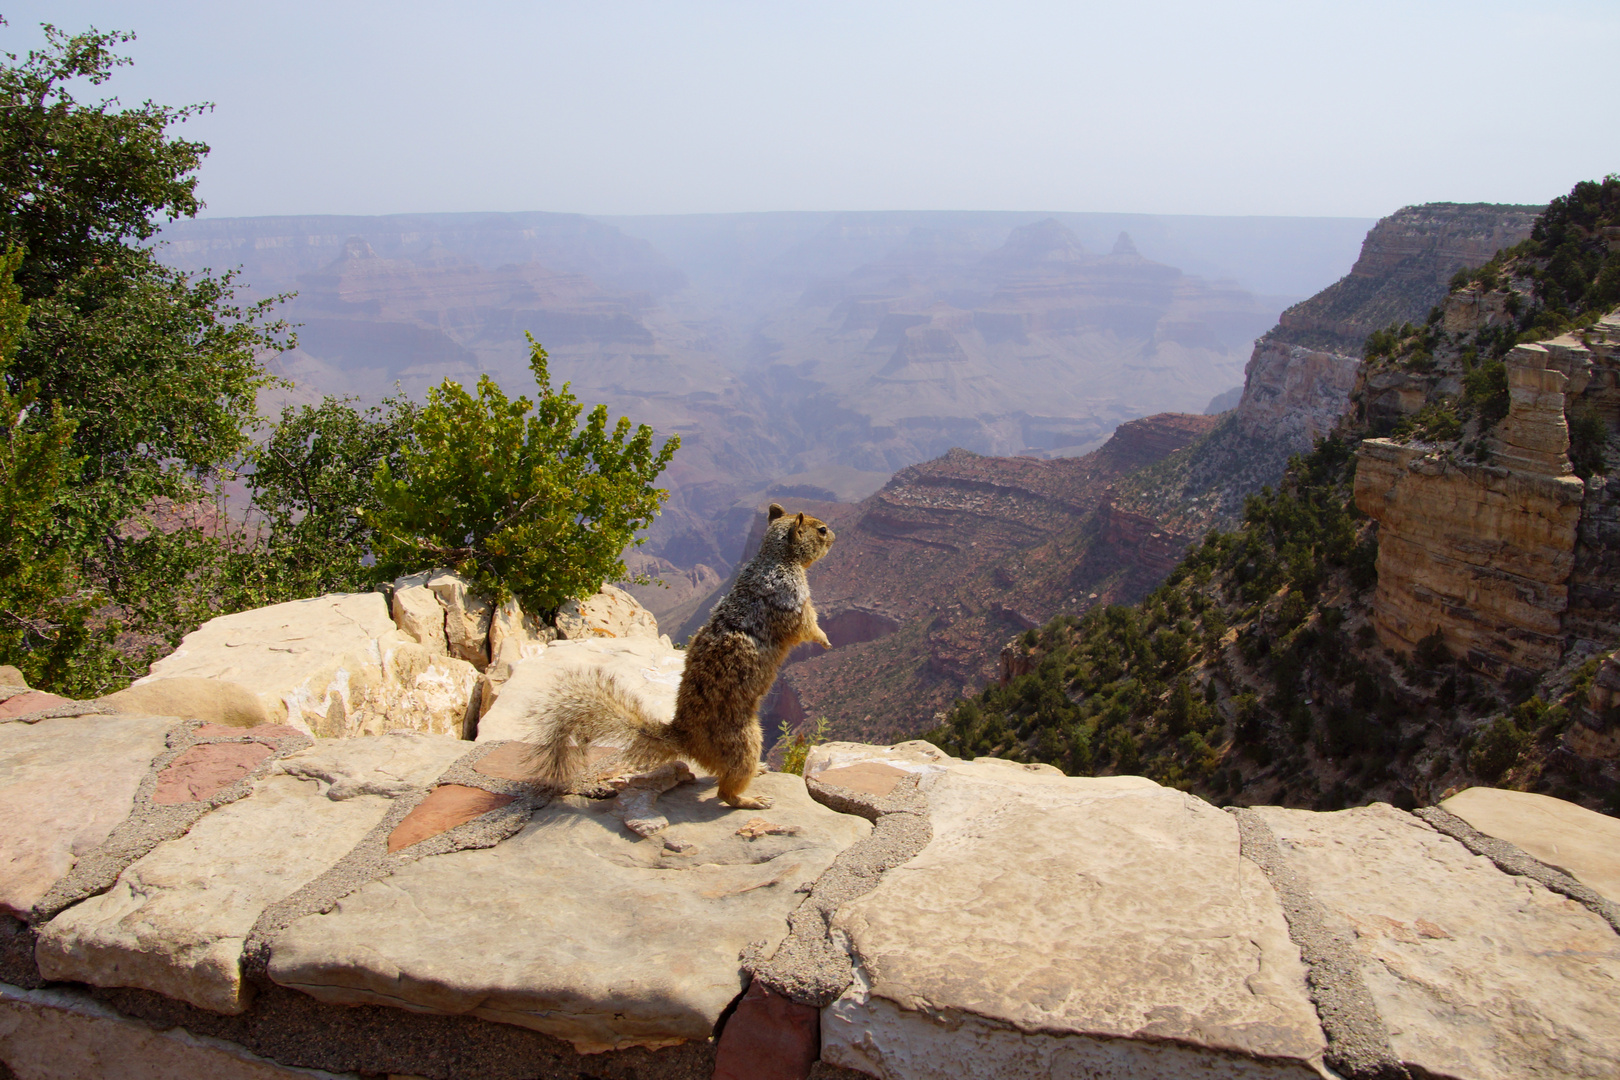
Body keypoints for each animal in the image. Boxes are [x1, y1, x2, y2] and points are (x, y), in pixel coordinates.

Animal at [528, 508, 835, 809]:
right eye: (821, 530)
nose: (834, 537)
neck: (776, 557)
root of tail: (684, 737)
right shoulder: (793, 596)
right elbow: (807, 626)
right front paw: (825, 640)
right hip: (744, 742)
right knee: (725, 790)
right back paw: (751, 798)